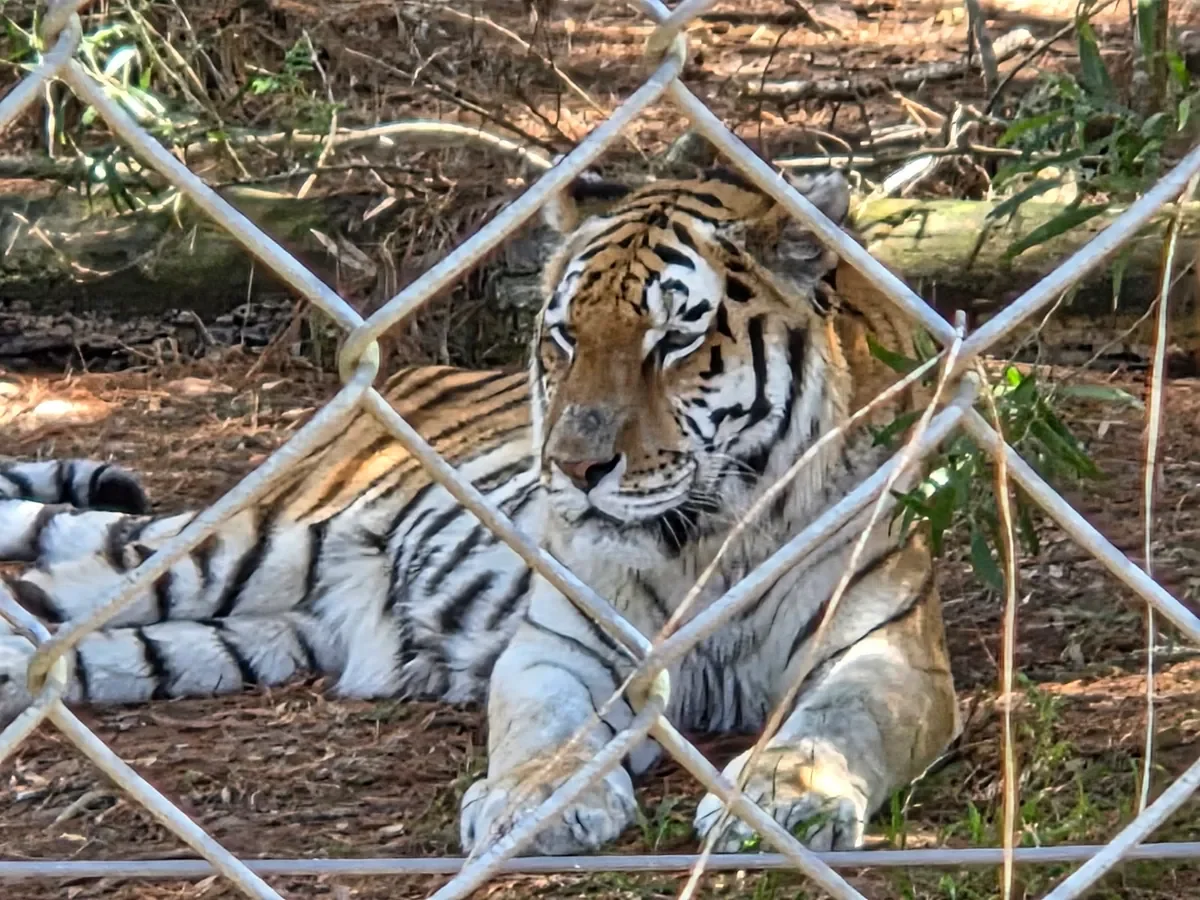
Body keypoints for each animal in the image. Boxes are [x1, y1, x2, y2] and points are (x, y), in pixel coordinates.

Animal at [0, 167, 960, 856]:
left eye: (675, 339)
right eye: (565, 335)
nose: (573, 467)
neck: (710, 538)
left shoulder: (886, 647)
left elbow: (835, 724)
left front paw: (783, 798)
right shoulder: (557, 647)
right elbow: (543, 728)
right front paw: (531, 801)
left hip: (247, 638)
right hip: (231, 554)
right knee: (47, 599)